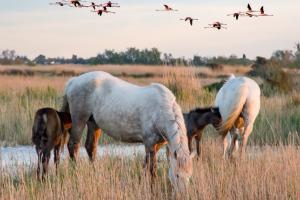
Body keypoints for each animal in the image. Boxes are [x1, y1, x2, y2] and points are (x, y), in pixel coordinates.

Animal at [61, 71, 193, 191]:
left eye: (189, 176)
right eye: (177, 175)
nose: (183, 194)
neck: (161, 110)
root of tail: (73, 81)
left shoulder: (158, 144)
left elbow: (145, 165)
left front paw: (141, 182)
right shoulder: (150, 143)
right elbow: (152, 168)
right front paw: (152, 187)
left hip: (93, 123)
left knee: (90, 147)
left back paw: (95, 172)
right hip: (79, 119)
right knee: (73, 145)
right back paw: (75, 172)